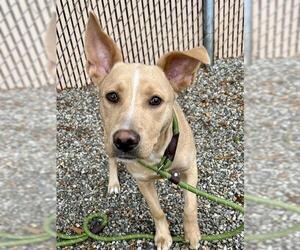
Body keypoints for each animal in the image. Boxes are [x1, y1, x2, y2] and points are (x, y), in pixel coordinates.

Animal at [84, 13, 210, 250]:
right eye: (112, 96)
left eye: (155, 100)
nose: (124, 141)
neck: (157, 153)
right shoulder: (142, 181)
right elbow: (157, 211)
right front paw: (163, 236)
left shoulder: (191, 169)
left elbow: (190, 206)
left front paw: (192, 234)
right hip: (106, 135)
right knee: (111, 159)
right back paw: (113, 182)